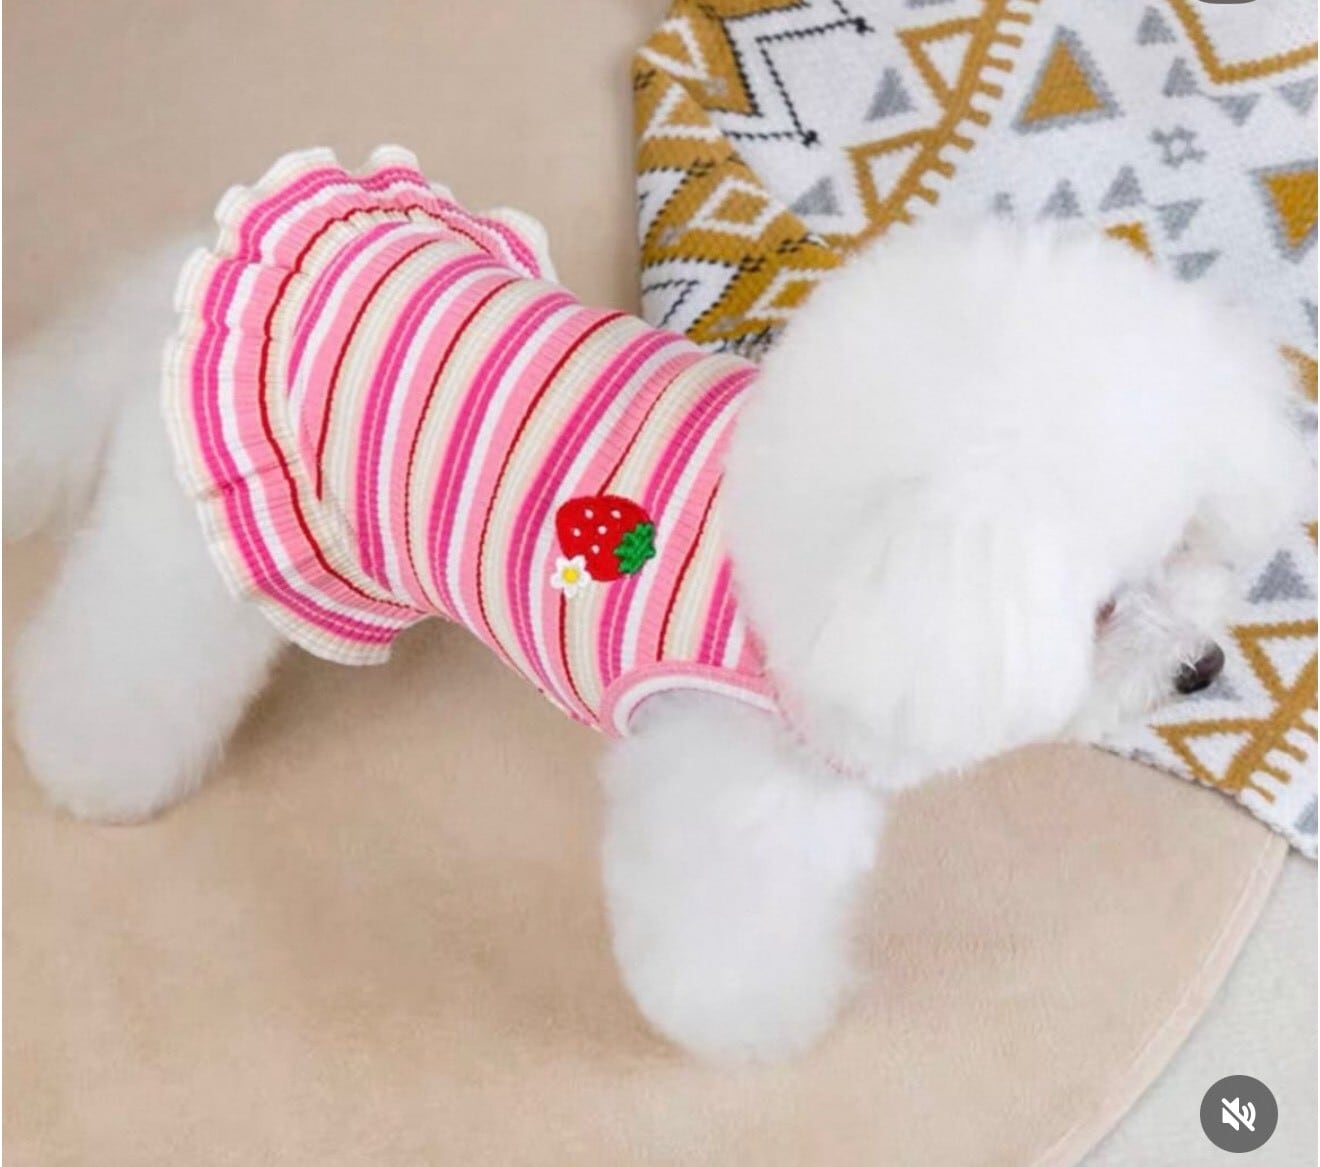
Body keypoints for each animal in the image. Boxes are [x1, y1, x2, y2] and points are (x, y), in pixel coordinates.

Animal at [5, 148, 1308, 1062]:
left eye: (1189, 538)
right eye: (1100, 607)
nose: (1201, 671)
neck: (820, 569)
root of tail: (221, 259)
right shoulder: (734, 795)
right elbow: (725, 941)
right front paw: (766, 1029)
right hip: (204, 559)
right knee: (122, 657)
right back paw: (92, 772)